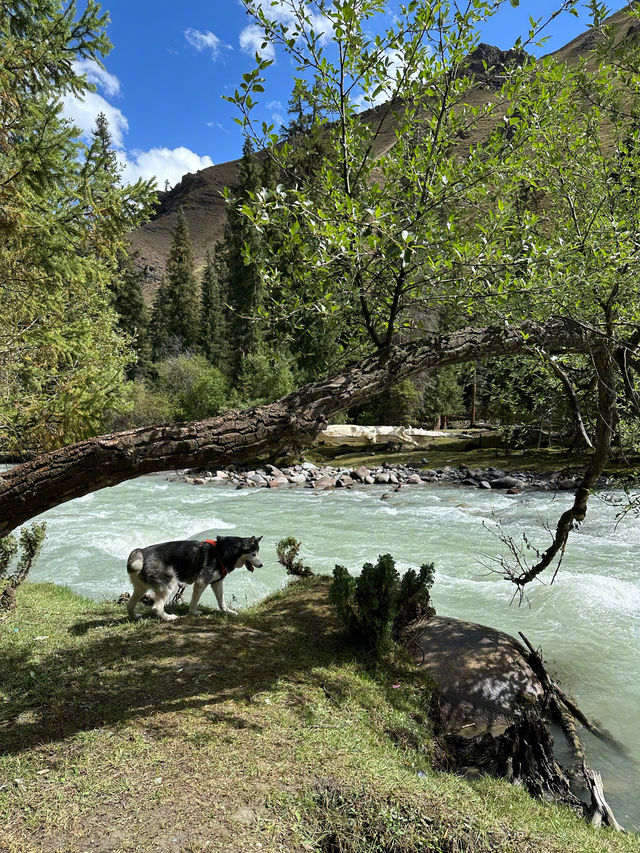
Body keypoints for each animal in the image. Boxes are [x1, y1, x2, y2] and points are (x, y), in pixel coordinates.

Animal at [126, 536, 262, 624]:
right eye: (253, 554)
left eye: (257, 553)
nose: (261, 565)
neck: (221, 552)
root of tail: (141, 552)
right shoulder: (201, 583)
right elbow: (194, 603)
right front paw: (193, 613)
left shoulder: (217, 583)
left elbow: (221, 602)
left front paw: (228, 612)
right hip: (169, 585)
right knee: (157, 607)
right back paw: (169, 618)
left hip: (141, 589)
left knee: (129, 604)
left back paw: (134, 617)